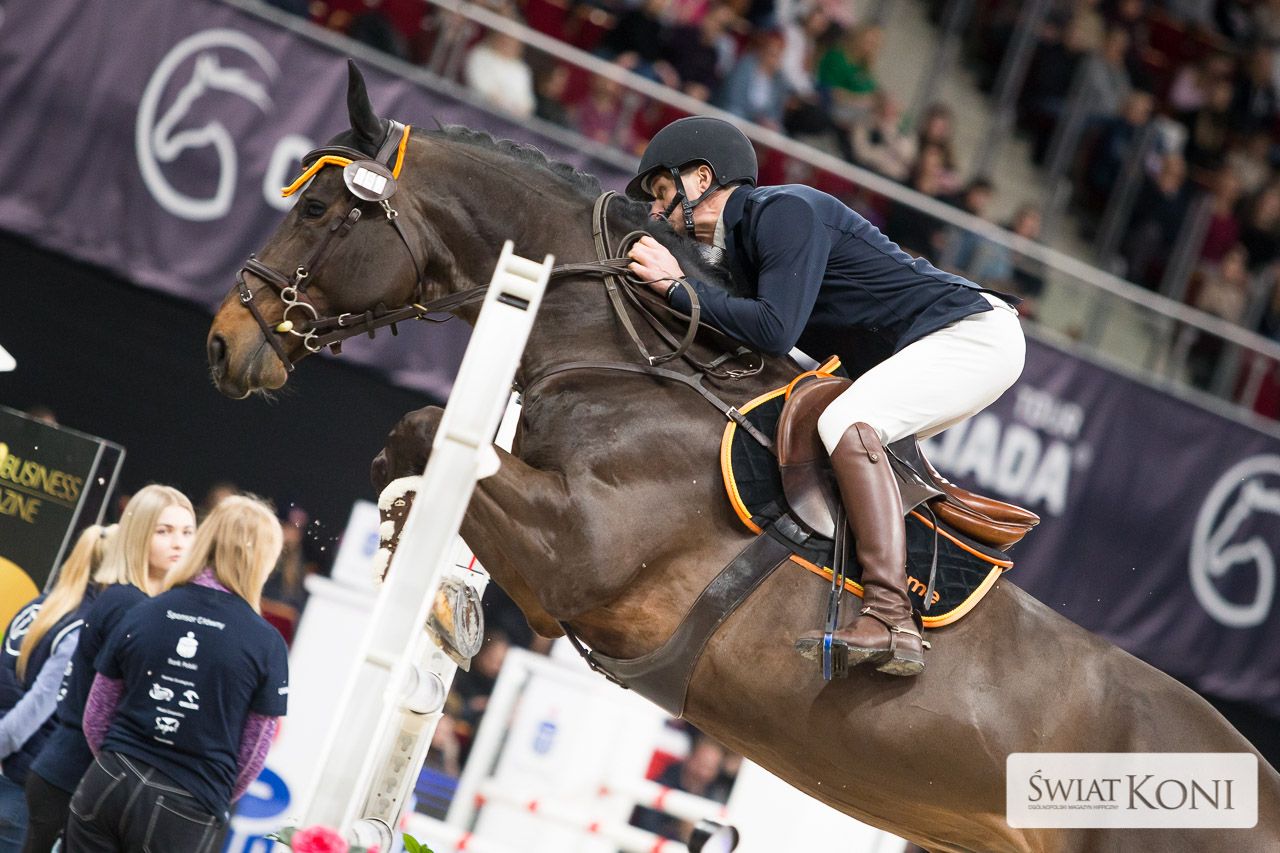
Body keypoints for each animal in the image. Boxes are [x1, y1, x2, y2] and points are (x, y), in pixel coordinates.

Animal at [207, 64, 1280, 852]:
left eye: (318, 212)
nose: (224, 343)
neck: (624, 359)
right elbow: (414, 447)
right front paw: (407, 552)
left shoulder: (579, 557)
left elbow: (429, 429)